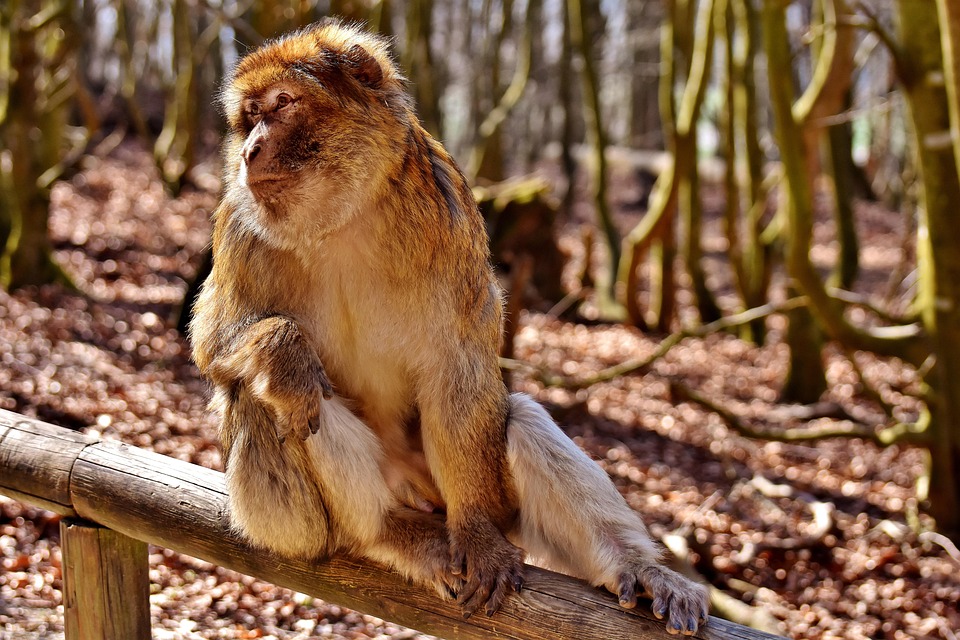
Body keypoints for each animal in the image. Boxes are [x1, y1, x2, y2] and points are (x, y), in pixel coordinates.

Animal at [190, 19, 709, 635]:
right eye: (249, 116)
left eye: (283, 104)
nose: (250, 150)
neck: (340, 217)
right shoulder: (238, 224)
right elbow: (213, 340)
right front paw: (283, 349)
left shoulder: (449, 216)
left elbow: (457, 367)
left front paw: (479, 537)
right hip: (313, 521)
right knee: (266, 394)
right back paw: (383, 528)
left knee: (520, 416)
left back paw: (635, 566)